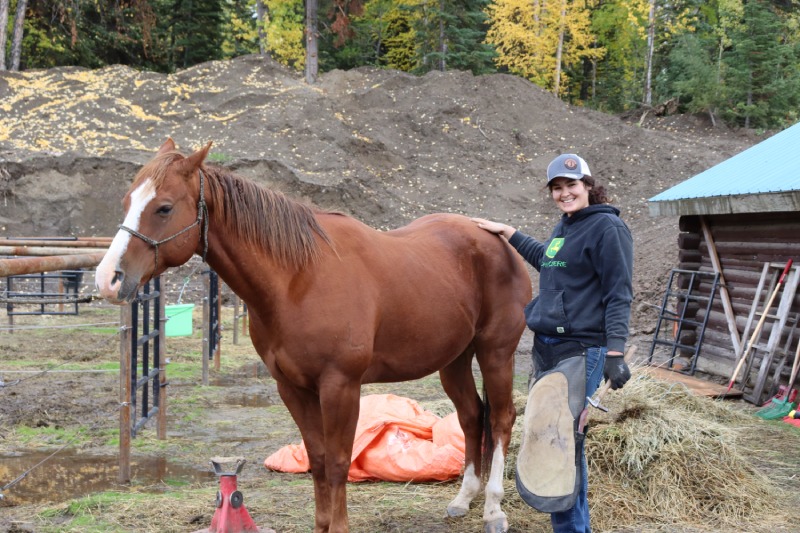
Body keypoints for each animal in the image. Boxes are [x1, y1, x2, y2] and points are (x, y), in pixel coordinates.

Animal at [95, 139, 532, 533]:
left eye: (164, 207)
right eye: (127, 201)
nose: (107, 279)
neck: (298, 279)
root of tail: (498, 240)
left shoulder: (340, 386)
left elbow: (338, 461)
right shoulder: (292, 387)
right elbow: (318, 460)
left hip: (495, 353)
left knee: (501, 419)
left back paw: (493, 510)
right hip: (454, 360)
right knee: (472, 415)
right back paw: (463, 498)